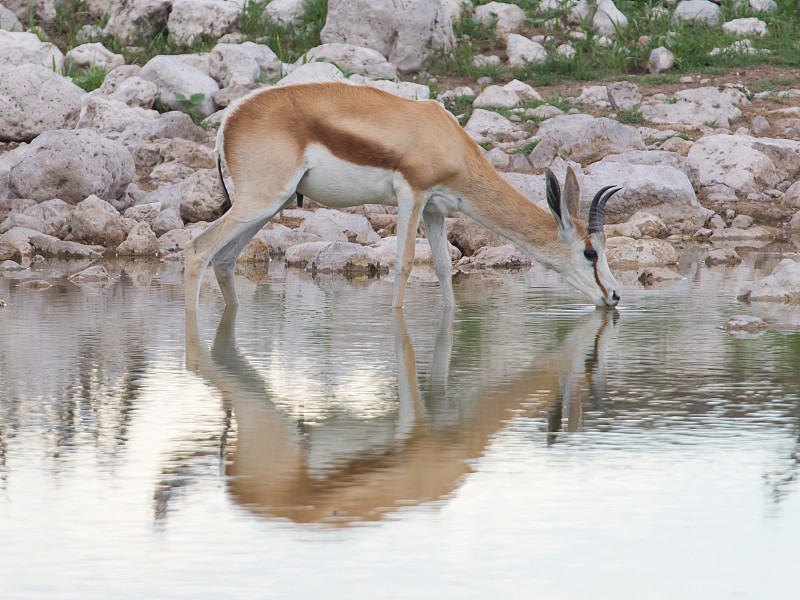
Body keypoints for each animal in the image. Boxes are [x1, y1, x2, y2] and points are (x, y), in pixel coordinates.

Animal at [184, 82, 620, 312]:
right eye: (590, 252)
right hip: (259, 201)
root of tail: (230, 120)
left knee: (223, 258)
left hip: (268, 205)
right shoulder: (412, 194)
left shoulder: (436, 209)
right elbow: (405, 263)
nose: (615, 295)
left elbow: (444, 267)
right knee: (196, 248)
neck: (449, 141)